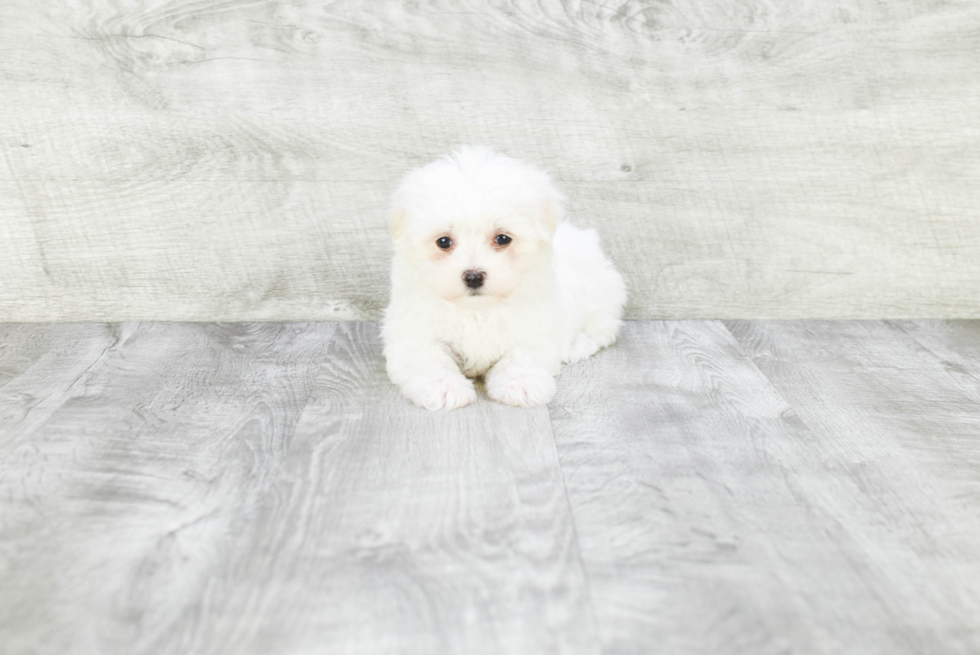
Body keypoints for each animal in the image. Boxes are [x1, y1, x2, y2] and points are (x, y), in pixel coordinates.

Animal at [378, 147, 624, 410]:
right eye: (443, 241)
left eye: (503, 239)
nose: (473, 276)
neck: (477, 310)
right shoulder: (413, 332)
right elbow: (429, 358)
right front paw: (444, 387)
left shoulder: (535, 325)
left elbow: (521, 355)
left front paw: (520, 384)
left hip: (601, 294)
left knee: (602, 328)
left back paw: (578, 345)